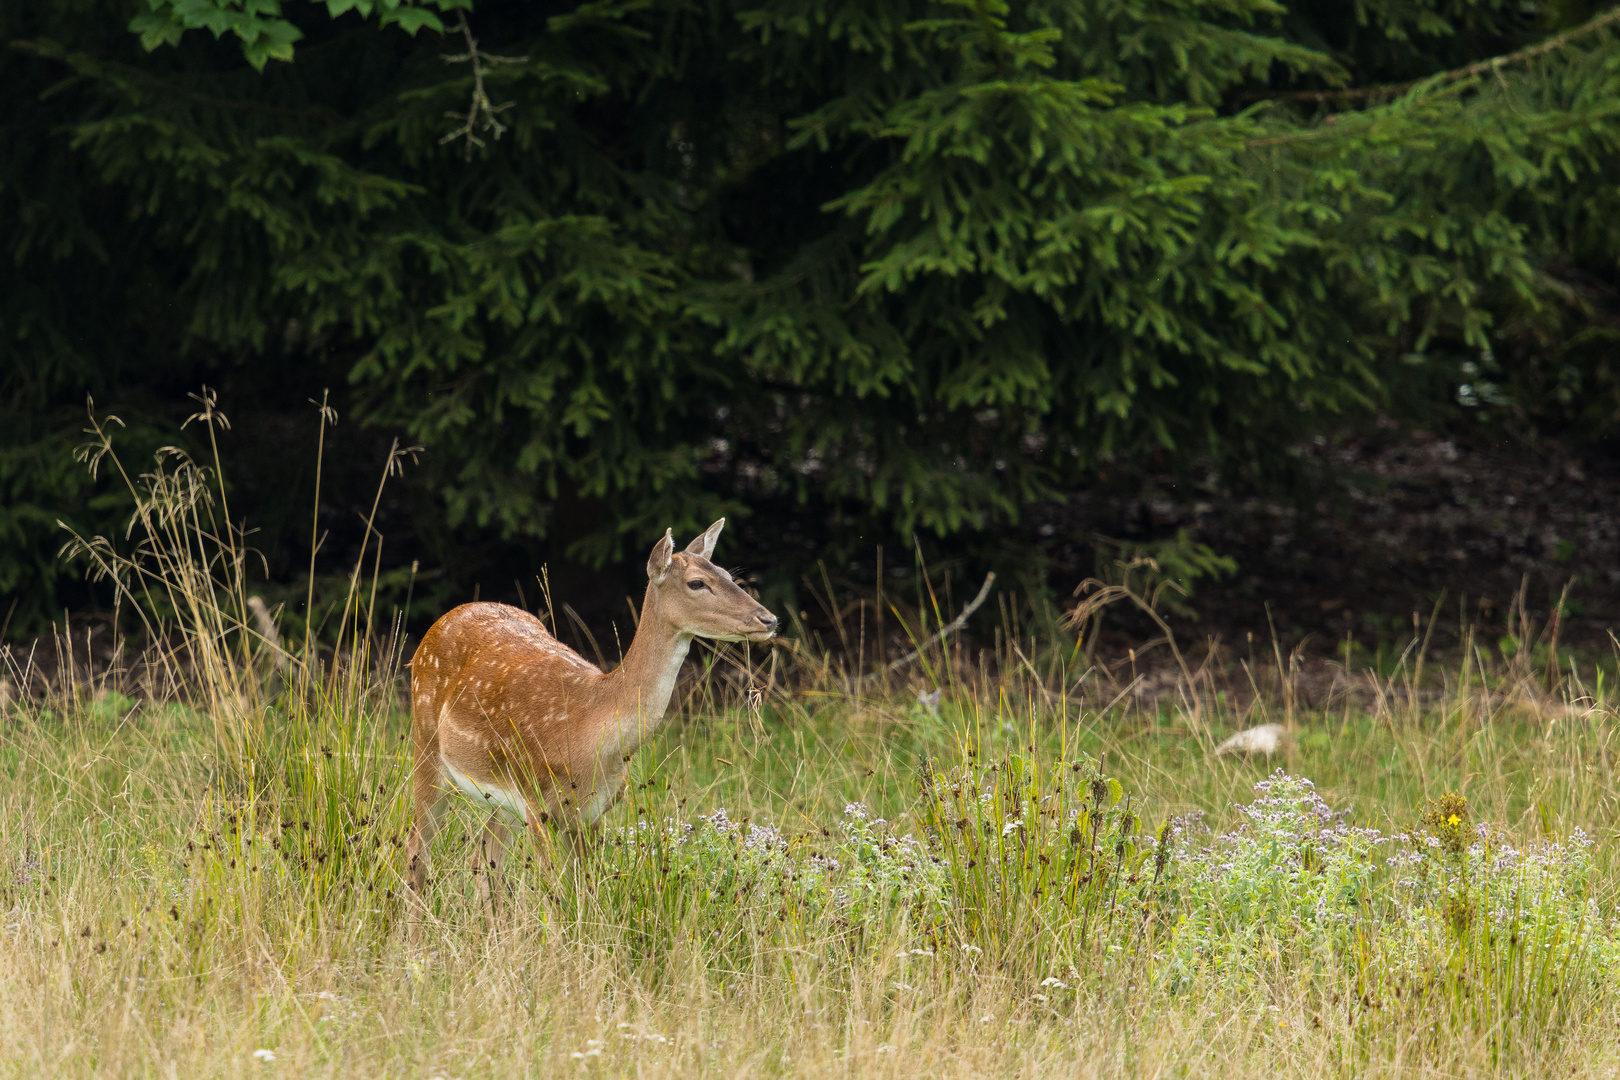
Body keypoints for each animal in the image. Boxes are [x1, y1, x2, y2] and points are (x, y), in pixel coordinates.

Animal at [401, 518, 774, 906]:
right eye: (697, 583)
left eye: (728, 575)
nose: (768, 619)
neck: (589, 731)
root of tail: (440, 622)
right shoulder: (538, 805)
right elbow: (559, 897)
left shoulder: (593, 812)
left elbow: (587, 891)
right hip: (426, 746)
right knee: (417, 853)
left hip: (499, 798)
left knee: (483, 862)